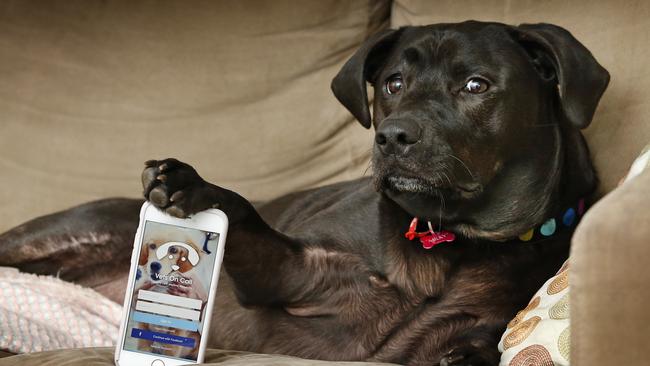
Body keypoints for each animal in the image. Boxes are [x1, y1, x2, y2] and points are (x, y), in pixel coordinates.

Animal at [0, 21, 608, 364]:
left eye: (475, 85)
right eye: (393, 84)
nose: (392, 136)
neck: (443, 239)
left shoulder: (447, 333)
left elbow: (473, 345)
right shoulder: (291, 271)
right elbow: (245, 216)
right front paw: (195, 186)